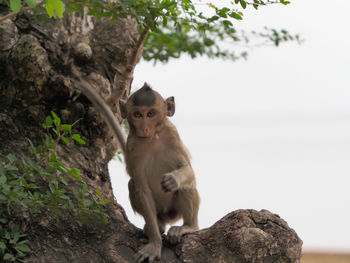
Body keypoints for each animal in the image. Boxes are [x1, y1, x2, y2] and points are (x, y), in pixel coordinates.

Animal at [119, 84, 200, 263]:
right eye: (137, 114)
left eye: (150, 114)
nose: (144, 128)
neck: (152, 140)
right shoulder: (132, 147)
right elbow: (142, 190)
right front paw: (155, 245)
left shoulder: (172, 135)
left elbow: (189, 170)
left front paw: (173, 179)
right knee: (132, 184)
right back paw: (158, 225)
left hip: (175, 212)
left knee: (186, 185)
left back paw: (189, 227)